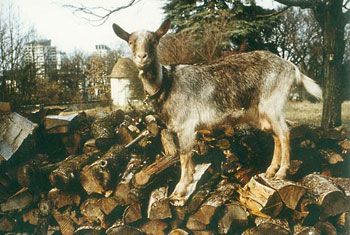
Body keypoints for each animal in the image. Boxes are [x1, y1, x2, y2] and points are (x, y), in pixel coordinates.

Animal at [112, 18, 322, 206]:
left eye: (155, 41)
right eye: (131, 42)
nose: (142, 57)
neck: (166, 84)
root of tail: (293, 68)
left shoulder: (186, 125)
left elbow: (184, 155)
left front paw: (180, 190)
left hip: (274, 104)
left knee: (285, 133)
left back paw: (281, 172)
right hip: (263, 114)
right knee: (276, 135)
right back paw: (270, 170)